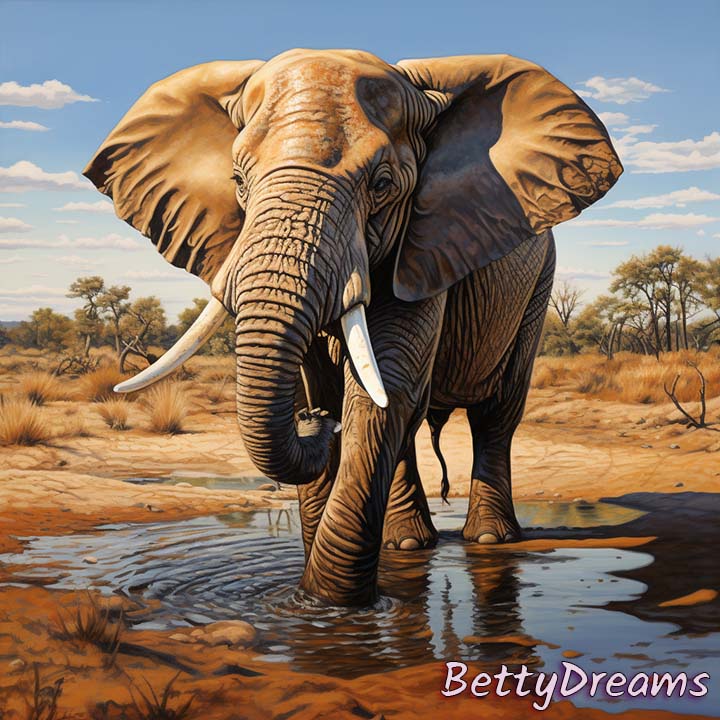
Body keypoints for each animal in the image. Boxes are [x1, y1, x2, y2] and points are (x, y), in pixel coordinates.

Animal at [84, 49, 622, 607]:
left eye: (381, 185)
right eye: (238, 182)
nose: (318, 421)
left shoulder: (423, 245)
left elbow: (383, 388)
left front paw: (329, 604)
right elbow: (335, 387)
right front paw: (311, 603)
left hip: (538, 283)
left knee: (495, 413)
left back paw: (490, 539)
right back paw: (406, 544)